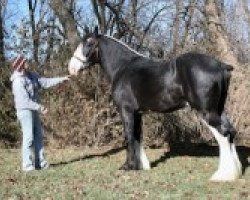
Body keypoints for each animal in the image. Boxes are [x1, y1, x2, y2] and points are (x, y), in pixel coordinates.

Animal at [67, 29, 241, 181]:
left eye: (89, 43)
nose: (72, 68)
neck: (123, 67)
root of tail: (221, 65)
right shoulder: (137, 113)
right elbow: (138, 136)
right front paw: (143, 166)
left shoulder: (126, 111)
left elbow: (129, 136)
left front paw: (128, 166)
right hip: (218, 110)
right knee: (231, 132)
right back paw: (236, 172)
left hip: (206, 112)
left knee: (223, 135)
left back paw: (222, 175)